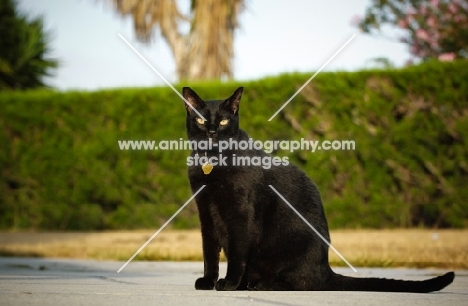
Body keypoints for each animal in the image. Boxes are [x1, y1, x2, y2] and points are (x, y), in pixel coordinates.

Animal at [183, 86, 454, 292]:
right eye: (200, 119)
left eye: (224, 120)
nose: (211, 131)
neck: (212, 164)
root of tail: (326, 268)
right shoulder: (206, 213)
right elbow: (209, 253)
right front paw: (208, 281)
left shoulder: (240, 215)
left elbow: (237, 254)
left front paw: (229, 284)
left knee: (302, 283)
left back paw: (259, 285)